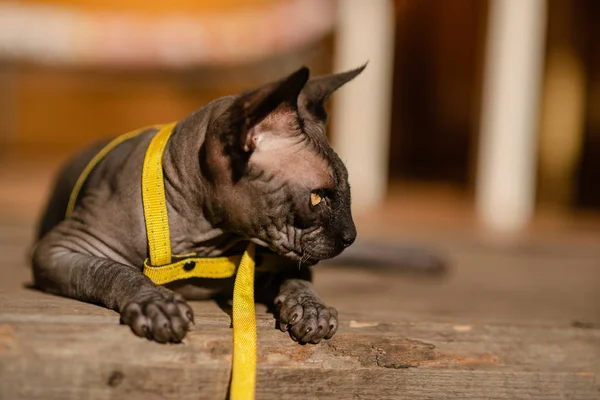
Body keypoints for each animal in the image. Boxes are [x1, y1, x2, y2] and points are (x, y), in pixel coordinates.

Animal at [34, 65, 370, 344]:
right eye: (317, 197)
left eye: (347, 190)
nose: (351, 236)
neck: (204, 240)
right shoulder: (58, 248)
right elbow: (113, 269)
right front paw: (156, 304)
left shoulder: (275, 259)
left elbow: (298, 277)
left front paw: (312, 309)